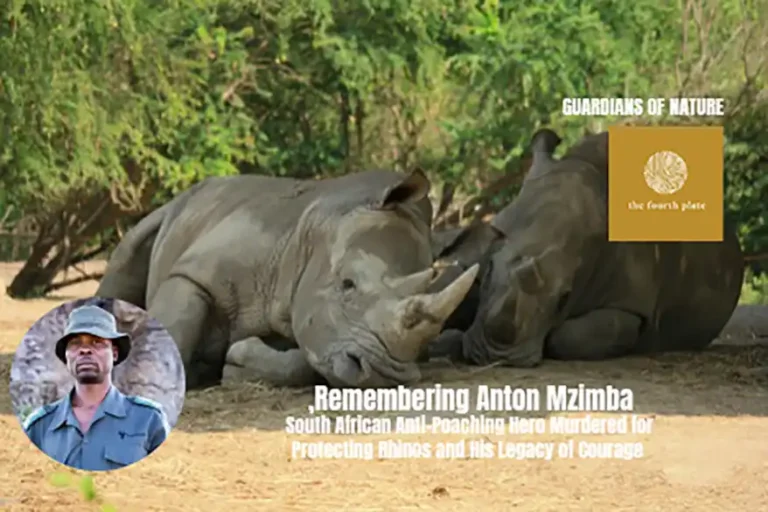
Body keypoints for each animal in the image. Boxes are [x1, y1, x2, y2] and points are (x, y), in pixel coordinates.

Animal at [96, 169, 479, 389]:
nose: (385, 374)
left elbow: (303, 364)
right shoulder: (195, 272)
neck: (316, 232)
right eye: (347, 285)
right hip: (171, 212)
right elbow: (173, 324)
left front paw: (234, 365)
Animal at [430, 129, 745, 366]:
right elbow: (450, 286)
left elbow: (570, 337)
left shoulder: (631, 303)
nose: (495, 356)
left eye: (564, 299)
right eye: (488, 272)